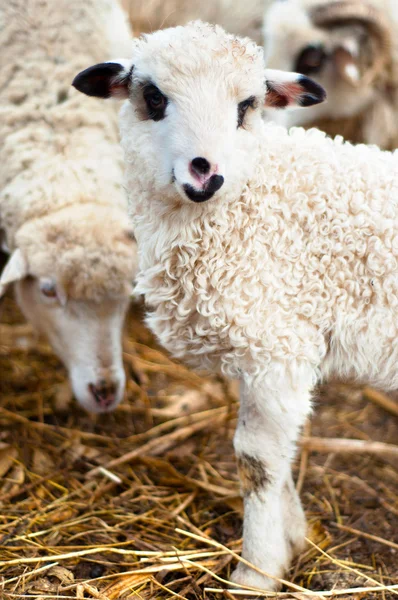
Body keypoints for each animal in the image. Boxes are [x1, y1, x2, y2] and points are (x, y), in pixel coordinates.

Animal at [72, 22, 398, 592]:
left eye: (247, 105)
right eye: (153, 98)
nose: (205, 173)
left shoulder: (278, 347)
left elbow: (256, 463)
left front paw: (257, 572)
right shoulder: (266, 356)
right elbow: (278, 458)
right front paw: (294, 539)